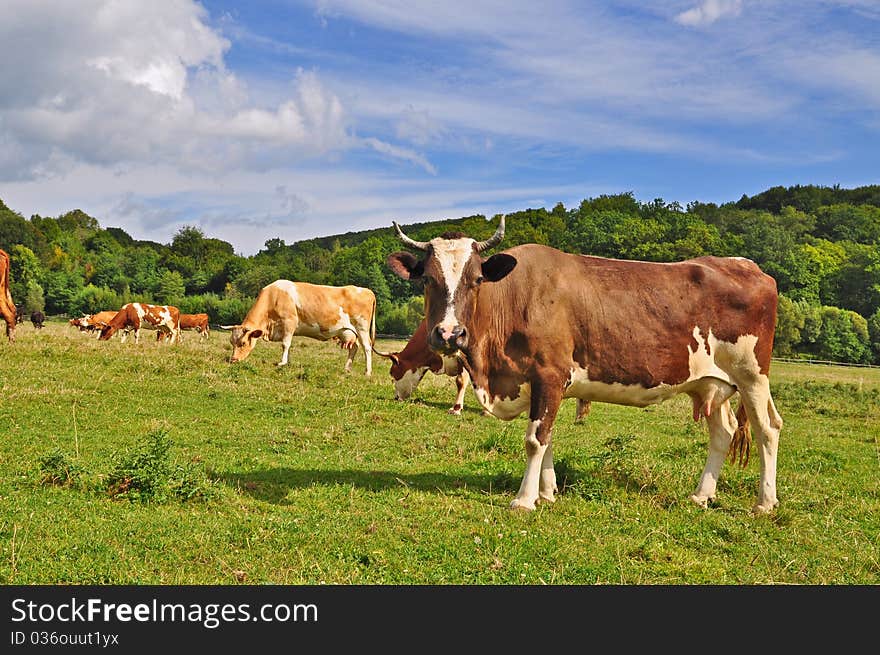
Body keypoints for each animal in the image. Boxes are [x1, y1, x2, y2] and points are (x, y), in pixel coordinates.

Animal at [222, 280, 376, 376]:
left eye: (242, 343)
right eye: (231, 342)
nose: (233, 360)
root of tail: (367, 291)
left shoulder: (290, 322)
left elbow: (285, 344)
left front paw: (282, 362)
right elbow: (288, 345)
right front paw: (287, 362)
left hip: (362, 328)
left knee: (367, 348)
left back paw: (367, 372)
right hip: (347, 331)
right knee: (354, 348)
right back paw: (347, 368)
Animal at [388, 218, 780, 516]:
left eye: (476, 280)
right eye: (428, 279)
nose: (449, 334)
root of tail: (748, 266)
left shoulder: (549, 374)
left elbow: (534, 440)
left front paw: (524, 500)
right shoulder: (539, 383)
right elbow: (547, 438)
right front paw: (546, 492)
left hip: (751, 374)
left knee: (768, 428)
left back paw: (764, 502)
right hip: (712, 382)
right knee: (724, 432)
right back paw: (702, 495)